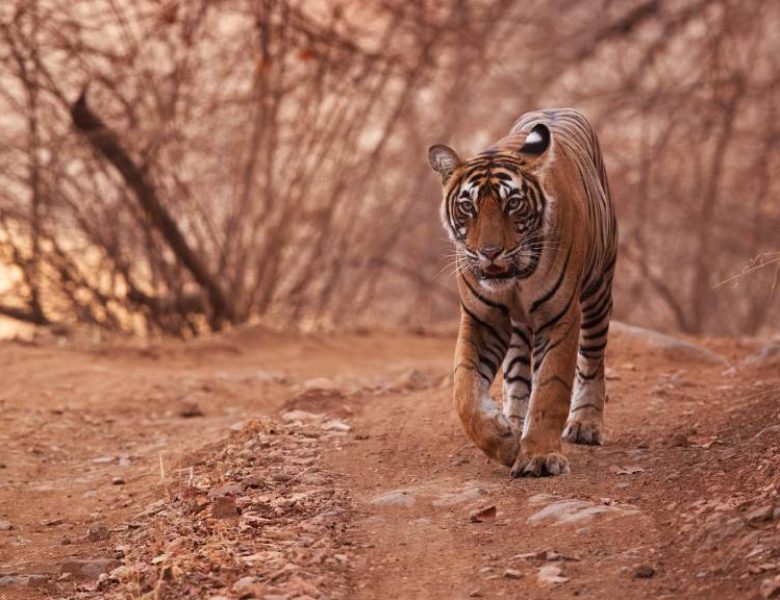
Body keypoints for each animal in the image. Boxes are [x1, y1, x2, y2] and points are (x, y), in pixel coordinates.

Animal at [426, 105, 616, 476]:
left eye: (512, 204)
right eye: (467, 206)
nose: (489, 252)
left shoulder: (559, 316)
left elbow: (551, 388)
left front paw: (539, 456)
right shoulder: (482, 318)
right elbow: (464, 391)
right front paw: (503, 441)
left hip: (599, 290)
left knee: (592, 358)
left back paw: (585, 424)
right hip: (515, 327)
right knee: (516, 374)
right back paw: (513, 422)